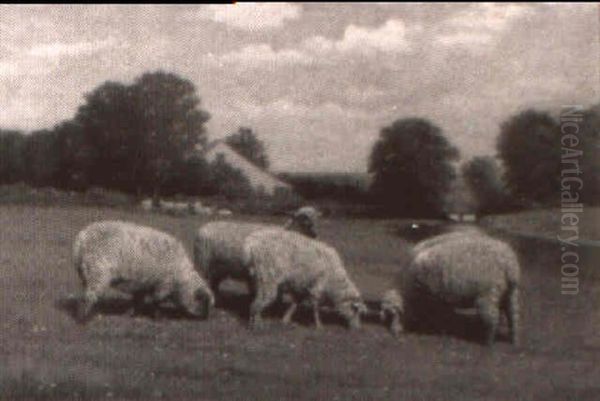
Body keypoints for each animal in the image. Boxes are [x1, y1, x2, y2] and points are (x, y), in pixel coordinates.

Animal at [73, 220, 214, 324]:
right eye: (204, 302)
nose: (205, 320)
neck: (181, 277)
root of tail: (81, 239)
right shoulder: (163, 284)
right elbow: (157, 301)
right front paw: (159, 318)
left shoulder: (143, 284)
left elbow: (138, 300)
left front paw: (131, 314)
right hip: (98, 271)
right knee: (88, 296)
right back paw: (83, 320)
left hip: (86, 272)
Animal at [390, 230, 520, 346]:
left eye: (393, 314)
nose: (394, 334)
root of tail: (510, 264)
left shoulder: (433, 295)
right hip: (510, 292)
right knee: (513, 315)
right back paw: (514, 341)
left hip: (488, 293)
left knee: (493, 318)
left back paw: (488, 342)